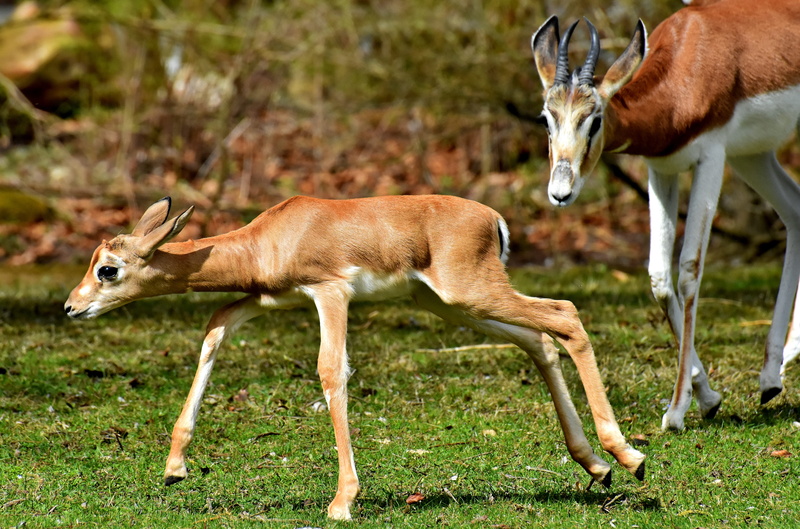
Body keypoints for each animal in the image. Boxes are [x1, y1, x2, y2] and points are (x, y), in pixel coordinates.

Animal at [65, 195, 646, 520]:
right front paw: (174, 468)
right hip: (451, 305)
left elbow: (330, 372)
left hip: (471, 294)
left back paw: (628, 457)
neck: (269, 238)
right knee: (539, 340)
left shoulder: (330, 292)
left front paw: (342, 502)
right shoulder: (266, 299)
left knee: (566, 316)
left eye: (108, 269)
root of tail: (493, 218)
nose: (71, 307)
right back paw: (597, 467)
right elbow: (212, 332)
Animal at [530, 0, 800, 431]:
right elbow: (659, 276)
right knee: (795, 211)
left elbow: (689, 270)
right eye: (545, 118)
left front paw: (676, 410)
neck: (685, 76)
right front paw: (707, 397)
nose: (560, 192)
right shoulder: (661, 169)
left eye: (595, 119)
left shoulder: (711, 157)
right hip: (753, 155)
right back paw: (773, 375)